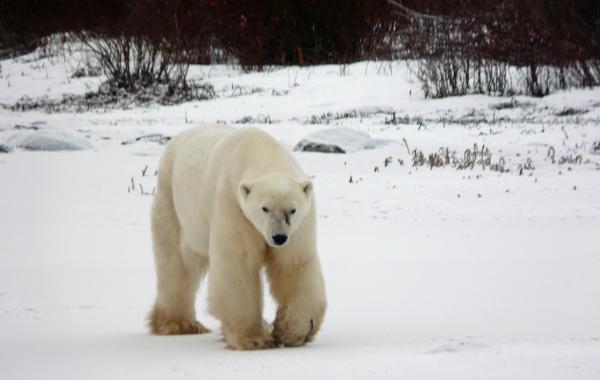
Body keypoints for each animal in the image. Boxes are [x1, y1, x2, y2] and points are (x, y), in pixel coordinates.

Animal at [149, 123, 328, 348]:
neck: (260, 150)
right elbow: (238, 263)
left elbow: (293, 264)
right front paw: (254, 339)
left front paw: (293, 330)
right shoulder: (233, 205)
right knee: (176, 264)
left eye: (292, 210)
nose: (278, 237)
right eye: (264, 208)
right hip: (173, 203)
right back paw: (178, 324)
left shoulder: (299, 226)